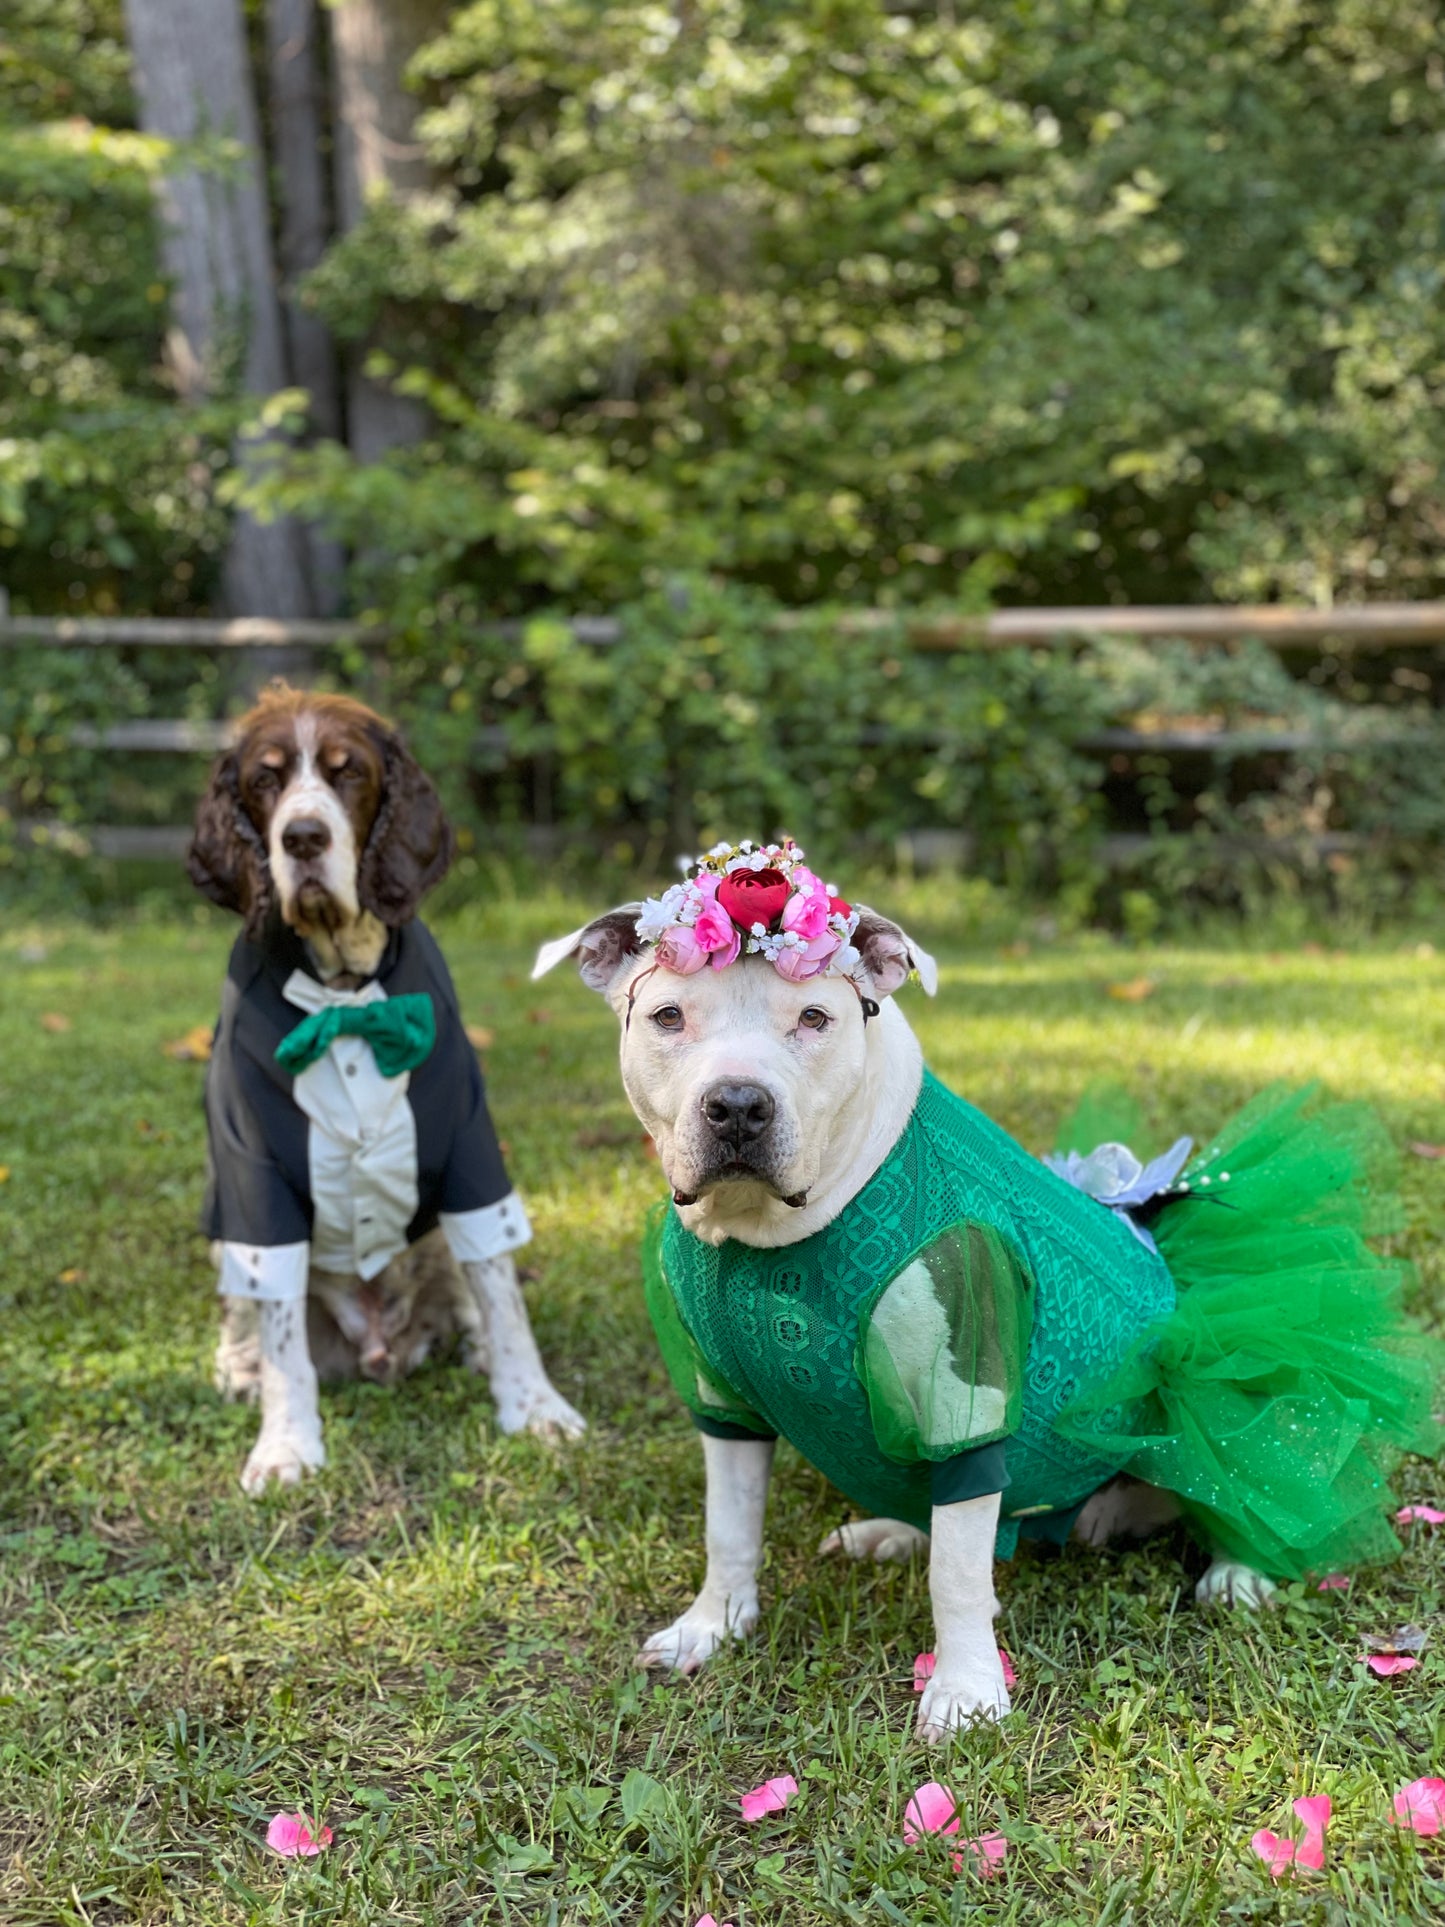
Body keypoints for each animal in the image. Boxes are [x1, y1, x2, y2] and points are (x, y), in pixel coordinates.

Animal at [189, 686, 585, 1495]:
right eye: (264, 780)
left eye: (349, 773)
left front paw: (534, 1406)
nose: (303, 838)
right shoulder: (252, 1171)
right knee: (246, 1307)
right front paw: (286, 1441)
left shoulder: (470, 1146)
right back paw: (240, 1369)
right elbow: (280, 1329)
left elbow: (501, 1289)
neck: (346, 996)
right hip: (224, 1236)